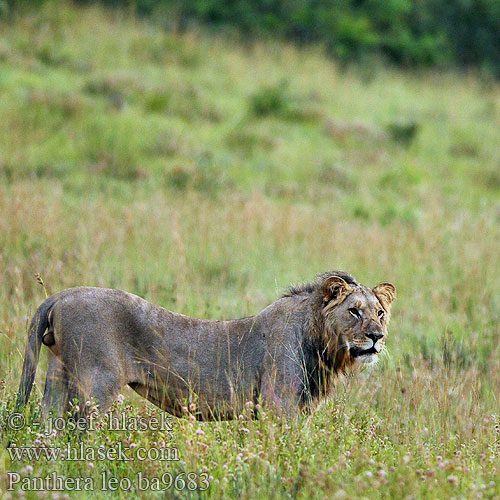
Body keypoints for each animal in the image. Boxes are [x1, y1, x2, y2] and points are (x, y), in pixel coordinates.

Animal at [16, 272, 394, 420]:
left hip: (58, 375)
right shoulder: (277, 405)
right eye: (354, 311)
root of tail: (62, 295)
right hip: (95, 384)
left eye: (380, 312)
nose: (377, 337)